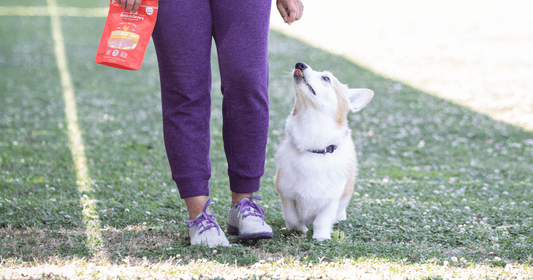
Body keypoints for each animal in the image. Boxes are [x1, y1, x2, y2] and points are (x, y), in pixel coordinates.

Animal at [276, 61, 372, 241]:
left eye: (326, 78)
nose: (300, 64)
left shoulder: (331, 199)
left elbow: (322, 220)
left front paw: (321, 237)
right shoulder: (286, 193)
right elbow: (292, 218)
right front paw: (300, 228)